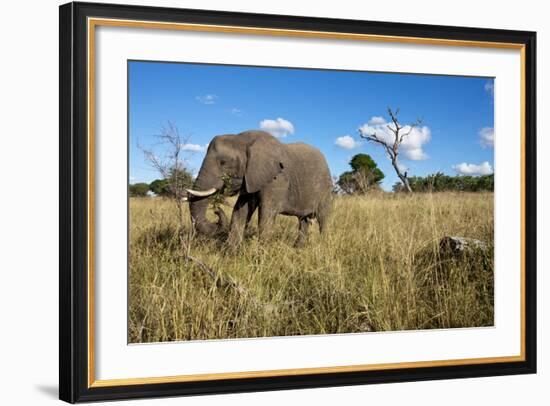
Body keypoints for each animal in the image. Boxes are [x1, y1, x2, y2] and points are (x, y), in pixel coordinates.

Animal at [187, 132, 332, 249]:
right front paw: (229, 252)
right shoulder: (250, 177)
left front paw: (261, 255)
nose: (216, 211)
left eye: (223, 162)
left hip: (325, 189)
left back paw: (323, 246)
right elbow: (240, 211)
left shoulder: (277, 179)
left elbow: (266, 213)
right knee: (303, 220)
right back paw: (298, 248)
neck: (243, 139)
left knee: (323, 218)